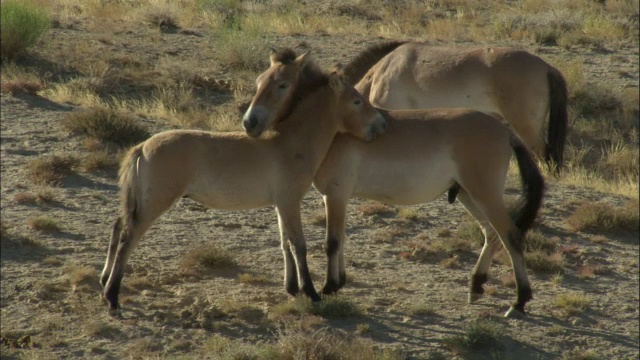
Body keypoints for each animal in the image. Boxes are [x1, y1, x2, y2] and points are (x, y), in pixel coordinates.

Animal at [100, 49, 388, 314]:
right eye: (357, 101)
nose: (380, 124)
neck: (289, 142)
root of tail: (142, 146)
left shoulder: (280, 205)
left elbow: (285, 242)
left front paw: (292, 289)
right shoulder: (289, 201)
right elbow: (299, 245)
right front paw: (311, 293)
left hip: (140, 202)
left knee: (117, 226)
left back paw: (104, 281)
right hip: (154, 203)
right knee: (127, 237)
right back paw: (112, 297)